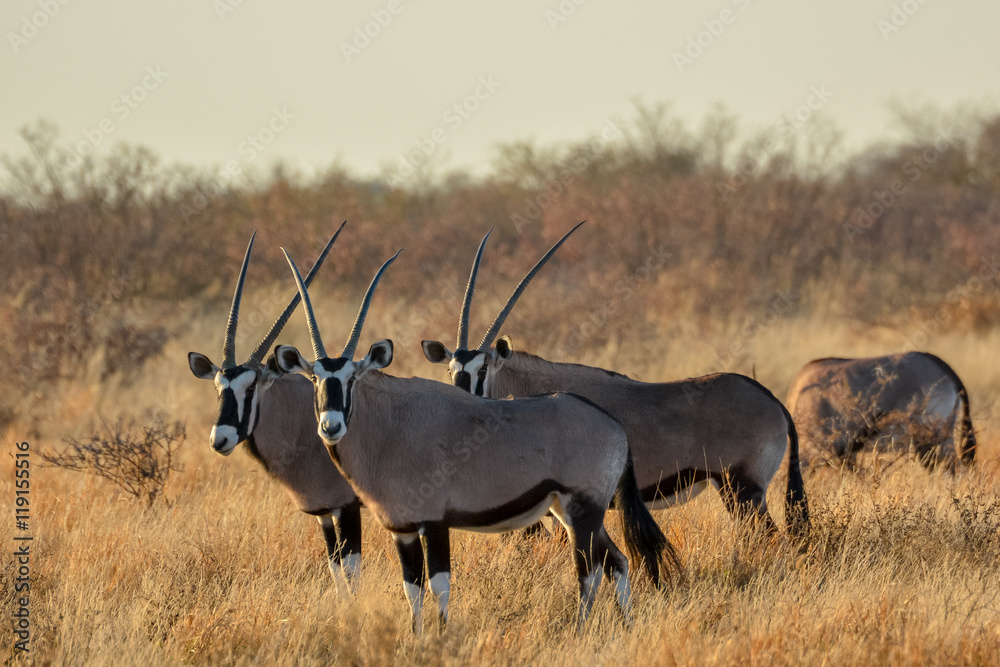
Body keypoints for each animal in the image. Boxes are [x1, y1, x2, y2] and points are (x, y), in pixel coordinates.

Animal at [188, 227, 364, 588]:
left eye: (251, 386)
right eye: (218, 388)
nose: (219, 439)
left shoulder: (348, 506)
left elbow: (351, 574)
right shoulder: (325, 511)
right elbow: (336, 570)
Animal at [278, 247, 676, 632]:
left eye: (352, 378)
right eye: (314, 379)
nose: (331, 426)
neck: (389, 427)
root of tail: (615, 426)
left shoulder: (434, 522)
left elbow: (438, 585)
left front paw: (440, 638)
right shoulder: (402, 530)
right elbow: (412, 589)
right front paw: (416, 637)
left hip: (584, 511)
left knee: (589, 572)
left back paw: (581, 631)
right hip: (569, 511)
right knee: (618, 562)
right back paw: (626, 626)